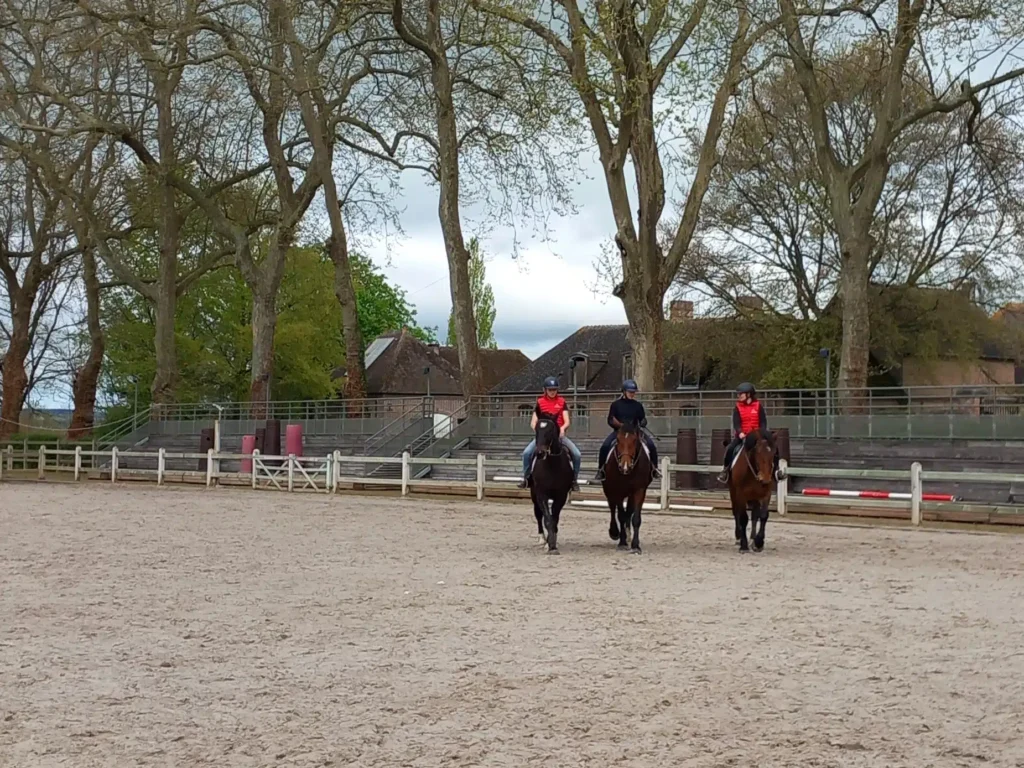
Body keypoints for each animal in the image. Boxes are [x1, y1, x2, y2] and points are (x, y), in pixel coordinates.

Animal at [532, 417, 573, 557]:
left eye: (550, 431)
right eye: (536, 429)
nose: (540, 453)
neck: (552, 465)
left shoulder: (561, 496)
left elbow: (555, 518)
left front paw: (553, 543)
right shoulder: (541, 494)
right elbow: (547, 519)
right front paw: (549, 545)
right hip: (534, 495)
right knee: (538, 515)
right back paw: (542, 539)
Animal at [598, 421, 655, 552]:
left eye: (634, 440)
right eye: (618, 440)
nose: (625, 466)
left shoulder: (639, 491)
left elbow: (635, 518)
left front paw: (635, 545)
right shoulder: (617, 491)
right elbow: (620, 515)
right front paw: (622, 542)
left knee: (628, 511)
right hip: (608, 489)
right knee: (613, 508)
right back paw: (614, 532)